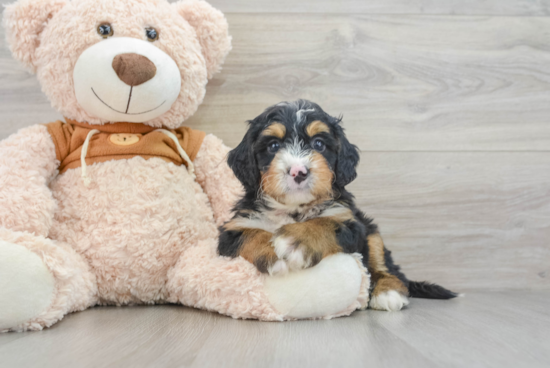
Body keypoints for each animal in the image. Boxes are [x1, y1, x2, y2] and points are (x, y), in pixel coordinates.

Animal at [218, 100, 460, 310]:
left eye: (318, 144)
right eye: (273, 145)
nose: (298, 171)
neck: (295, 209)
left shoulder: (349, 221)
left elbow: (324, 224)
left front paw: (295, 241)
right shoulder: (232, 229)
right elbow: (251, 235)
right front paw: (273, 253)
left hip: (372, 233)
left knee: (387, 269)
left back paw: (387, 293)